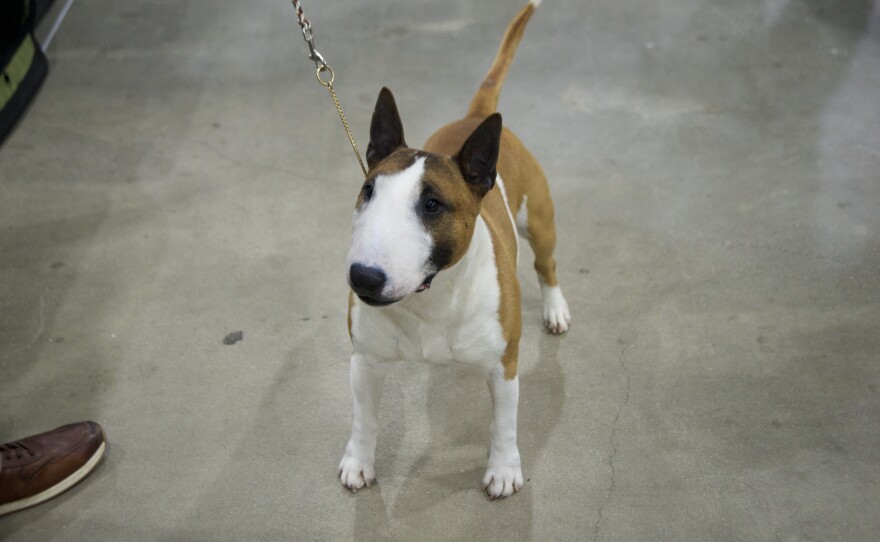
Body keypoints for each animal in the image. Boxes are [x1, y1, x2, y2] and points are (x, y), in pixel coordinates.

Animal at [336, 0, 572, 502]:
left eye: (432, 205)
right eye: (368, 190)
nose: (362, 277)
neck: (430, 299)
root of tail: (473, 118)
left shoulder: (505, 366)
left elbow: (504, 424)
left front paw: (503, 471)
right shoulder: (364, 361)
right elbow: (364, 420)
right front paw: (358, 463)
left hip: (539, 222)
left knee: (547, 264)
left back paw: (556, 309)